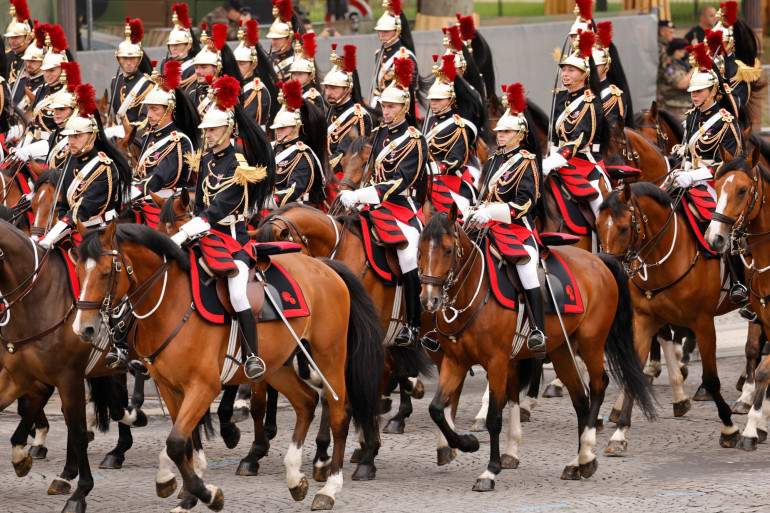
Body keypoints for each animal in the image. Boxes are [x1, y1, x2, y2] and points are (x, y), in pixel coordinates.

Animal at [0, 219, 148, 513]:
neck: (37, 299)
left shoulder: (68, 377)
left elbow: (78, 430)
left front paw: (80, 493)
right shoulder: (20, 374)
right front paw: (22, 456)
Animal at [72, 221, 383, 511]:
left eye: (105, 272)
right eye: (78, 272)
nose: (84, 329)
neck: (170, 302)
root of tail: (324, 266)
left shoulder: (203, 387)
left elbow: (176, 443)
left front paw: (208, 495)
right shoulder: (170, 387)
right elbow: (185, 443)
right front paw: (186, 493)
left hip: (328, 356)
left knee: (339, 413)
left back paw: (329, 488)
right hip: (277, 365)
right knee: (306, 401)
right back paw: (295, 477)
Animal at [417, 206, 655, 490]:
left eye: (448, 250)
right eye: (420, 249)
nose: (429, 300)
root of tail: (597, 259)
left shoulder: (497, 362)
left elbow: (494, 418)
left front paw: (490, 470)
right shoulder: (455, 361)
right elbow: (436, 409)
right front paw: (466, 444)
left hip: (591, 343)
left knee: (598, 386)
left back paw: (587, 455)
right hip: (562, 351)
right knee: (580, 399)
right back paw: (577, 463)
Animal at [597, 181, 743, 456]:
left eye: (623, 228)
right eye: (598, 225)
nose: (608, 269)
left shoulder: (703, 324)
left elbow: (711, 379)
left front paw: (729, 428)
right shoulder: (644, 321)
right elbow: (633, 373)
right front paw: (619, 434)